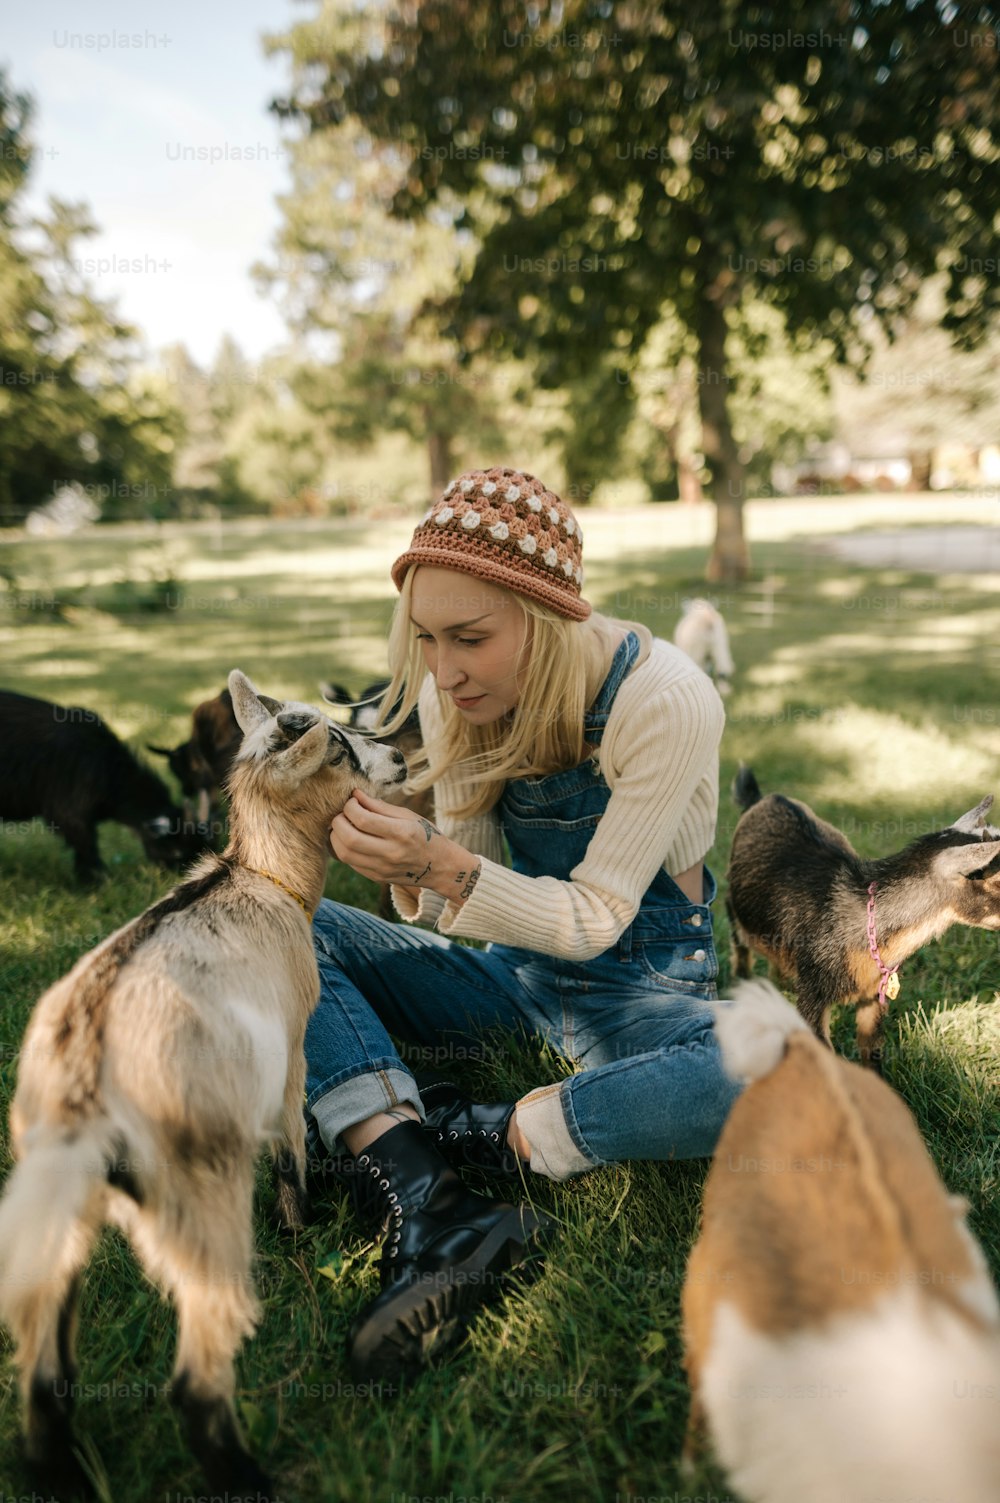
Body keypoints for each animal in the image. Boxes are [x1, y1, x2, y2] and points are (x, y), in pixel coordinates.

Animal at [724, 769, 998, 1076]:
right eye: (997, 880)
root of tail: (765, 798)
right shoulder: (813, 996)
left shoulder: (873, 996)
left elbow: (872, 1050)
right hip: (733, 908)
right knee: (740, 946)